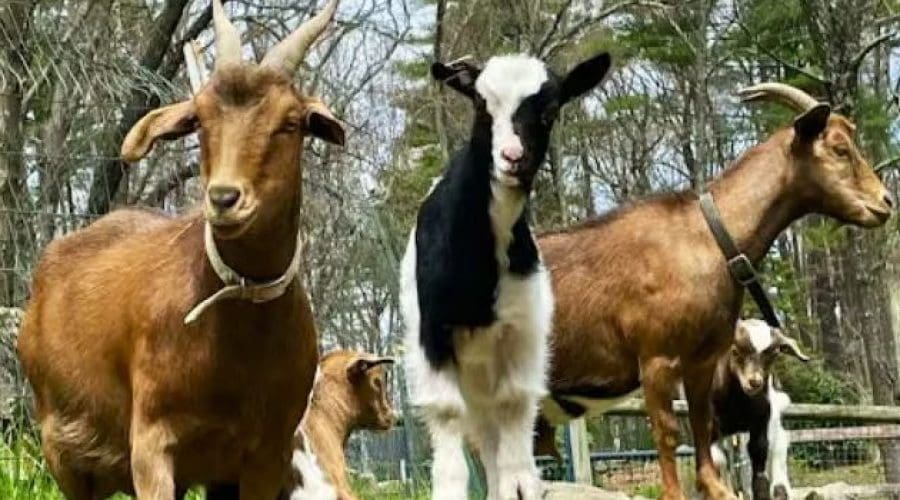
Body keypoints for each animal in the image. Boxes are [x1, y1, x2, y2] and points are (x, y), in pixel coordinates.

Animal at [16, 1, 345, 498]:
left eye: (291, 122)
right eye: (201, 119)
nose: (224, 198)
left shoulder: (264, 454)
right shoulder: (153, 443)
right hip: (62, 445)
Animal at [400, 53, 611, 500]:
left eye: (549, 111)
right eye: (482, 106)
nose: (512, 157)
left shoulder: (522, 327)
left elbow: (514, 401)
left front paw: (520, 483)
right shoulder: (433, 331)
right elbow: (447, 411)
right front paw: (448, 490)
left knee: (490, 422)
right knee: (477, 424)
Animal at [535, 83, 892, 500]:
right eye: (839, 148)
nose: (885, 203)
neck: (708, 238)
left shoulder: (701, 360)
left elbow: (703, 426)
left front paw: (714, 486)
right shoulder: (656, 358)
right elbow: (669, 433)